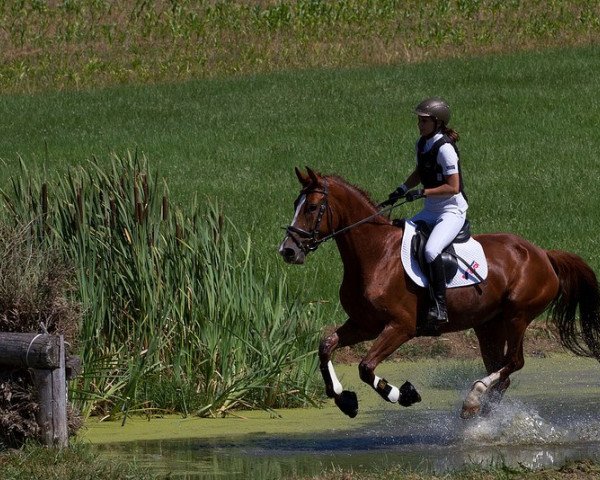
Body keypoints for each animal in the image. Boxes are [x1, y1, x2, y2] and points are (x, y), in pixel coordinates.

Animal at [278, 167, 600, 418]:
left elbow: (366, 367)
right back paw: (481, 413)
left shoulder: (400, 326)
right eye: (295, 203)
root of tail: (543, 254)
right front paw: (345, 399)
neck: (375, 254)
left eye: (311, 207)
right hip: (488, 326)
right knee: (502, 374)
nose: (288, 250)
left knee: (514, 363)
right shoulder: (365, 325)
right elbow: (326, 346)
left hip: (517, 317)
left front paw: (403, 394)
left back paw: (473, 397)